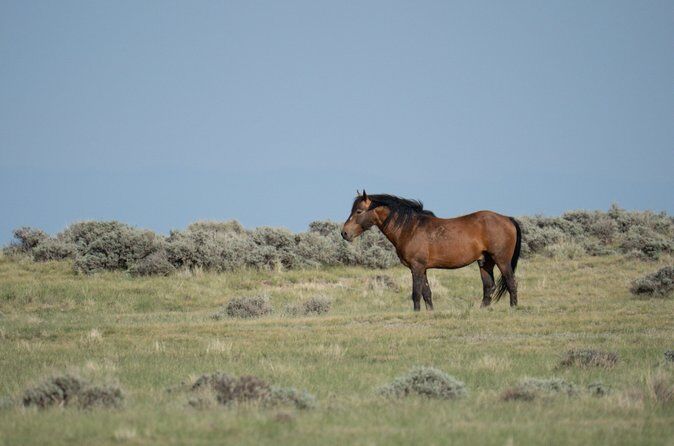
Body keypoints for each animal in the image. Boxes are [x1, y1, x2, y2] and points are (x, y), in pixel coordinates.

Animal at [341, 191, 521, 311]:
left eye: (358, 211)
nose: (344, 233)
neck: (410, 229)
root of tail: (507, 219)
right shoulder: (422, 268)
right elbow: (426, 292)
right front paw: (430, 313)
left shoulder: (416, 267)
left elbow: (416, 293)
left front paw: (416, 313)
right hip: (485, 262)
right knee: (488, 286)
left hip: (502, 260)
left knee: (511, 282)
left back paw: (513, 308)